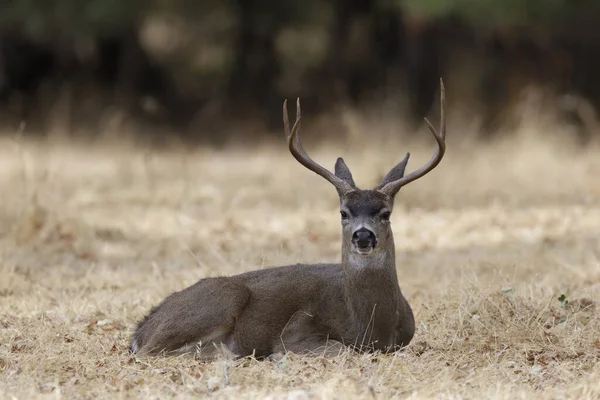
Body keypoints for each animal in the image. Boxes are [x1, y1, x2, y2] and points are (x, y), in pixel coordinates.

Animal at [127, 78, 446, 360]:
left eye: (385, 213)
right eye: (343, 212)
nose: (363, 235)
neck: (371, 327)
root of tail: (141, 329)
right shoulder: (296, 329)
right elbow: (340, 348)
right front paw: (277, 355)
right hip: (222, 297)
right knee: (149, 352)